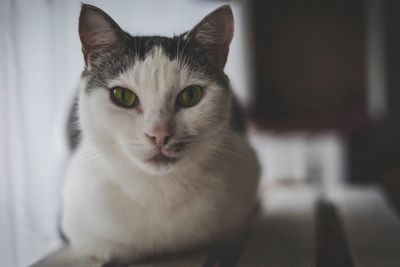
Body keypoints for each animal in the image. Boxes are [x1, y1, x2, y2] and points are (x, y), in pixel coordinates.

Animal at [59, 3, 260, 266]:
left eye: (191, 95)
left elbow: (233, 239)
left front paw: (220, 255)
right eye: (123, 96)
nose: (159, 133)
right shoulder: (81, 230)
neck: (160, 189)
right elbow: (114, 248)